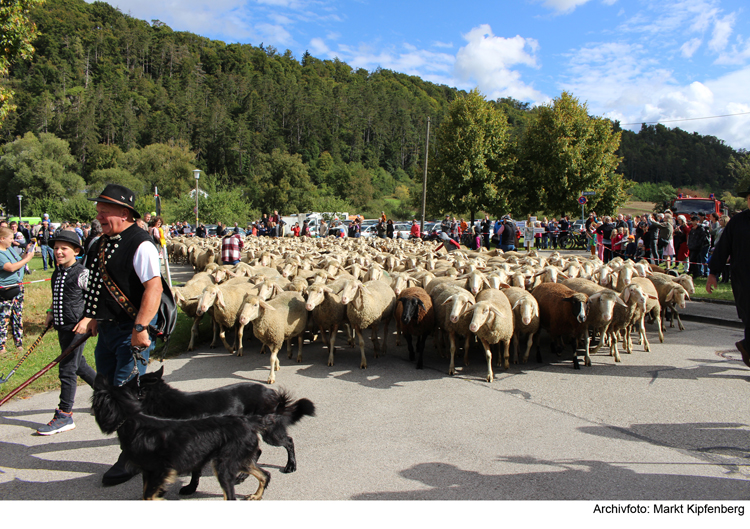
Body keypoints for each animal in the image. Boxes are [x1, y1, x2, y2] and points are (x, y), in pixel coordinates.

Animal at [91, 376, 272, 500]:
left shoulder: (161, 469)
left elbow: (148, 495)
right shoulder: (150, 470)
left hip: (224, 464)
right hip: (235, 459)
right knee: (264, 473)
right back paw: (255, 494)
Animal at [137, 366, 314, 488]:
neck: (165, 401)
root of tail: (272, 393)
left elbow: (195, 472)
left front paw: (190, 488)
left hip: (269, 432)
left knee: (288, 442)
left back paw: (291, 465)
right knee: (257, 452)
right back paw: (242, 476)